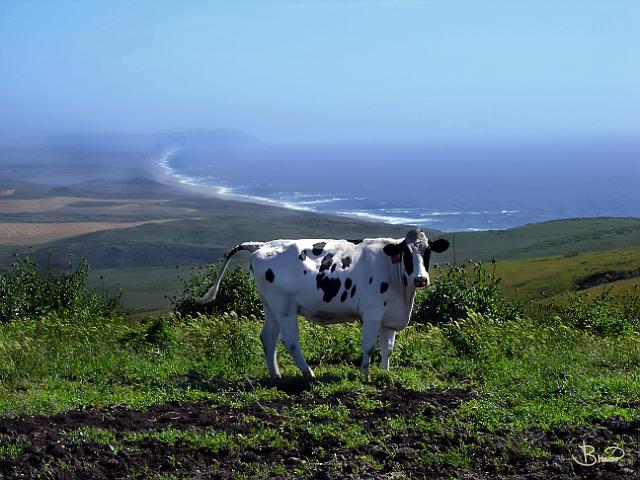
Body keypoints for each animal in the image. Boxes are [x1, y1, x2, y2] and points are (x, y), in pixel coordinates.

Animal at [199, 229, 450, 378]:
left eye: (427, 252)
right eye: (407, 253)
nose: (421, 279)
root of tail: (262, 245)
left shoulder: (389, 316)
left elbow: (387, 348)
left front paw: (384, 374)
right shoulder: (372, 312)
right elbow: (369, 346)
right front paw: (365, 377)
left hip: (270, 306)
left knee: (268, 337)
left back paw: (276, 376)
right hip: (284, 307)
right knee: (290, 341)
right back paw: (309, 375)